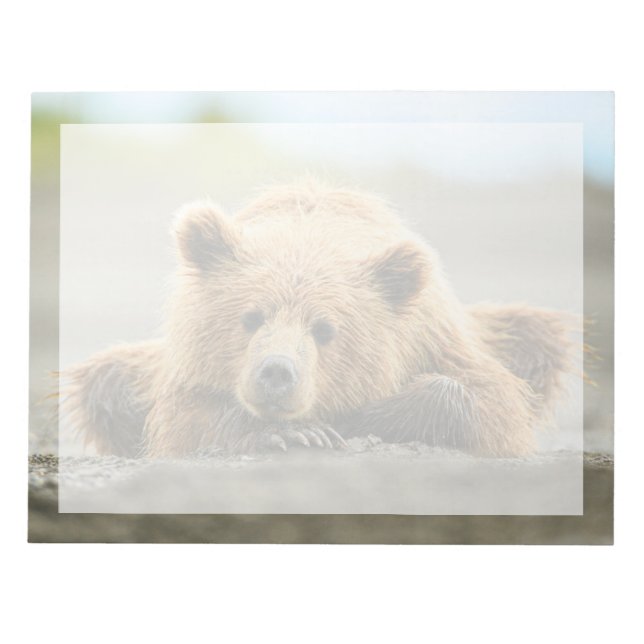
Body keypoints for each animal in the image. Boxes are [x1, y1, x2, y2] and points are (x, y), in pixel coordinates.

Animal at [61, 182, 575, 458]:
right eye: (251, 317)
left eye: (325, 329)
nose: (276, 372)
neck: (312, 232)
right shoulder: (186, 368)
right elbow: (183, 422)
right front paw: (296, 432)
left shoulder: (435, 337)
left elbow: (492, 404)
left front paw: (360, 417)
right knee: (106, 380)